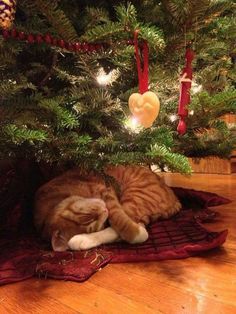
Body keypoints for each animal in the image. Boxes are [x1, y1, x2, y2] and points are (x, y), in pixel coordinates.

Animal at [33, 166, 181, 251]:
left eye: (85, 214)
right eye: (92, 225)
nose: (104, 210)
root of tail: (175, 198)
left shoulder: (107, 190)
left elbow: (120, 219)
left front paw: (136, 234)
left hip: (135, 195)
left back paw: (81, 240)